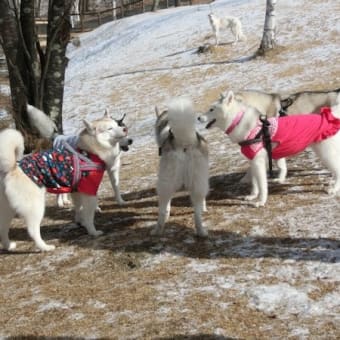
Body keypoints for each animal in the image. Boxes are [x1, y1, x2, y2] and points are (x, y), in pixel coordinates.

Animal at [199, 91, 340, 207]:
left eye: (211, 109)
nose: (198, 117)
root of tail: (330, 116)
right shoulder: (254, 160)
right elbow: (255, 182)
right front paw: (252, 196)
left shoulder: (259, 161)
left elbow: (262, 185)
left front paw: (261, 201)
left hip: (326, 153)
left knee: (337, 170)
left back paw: (334, 188)